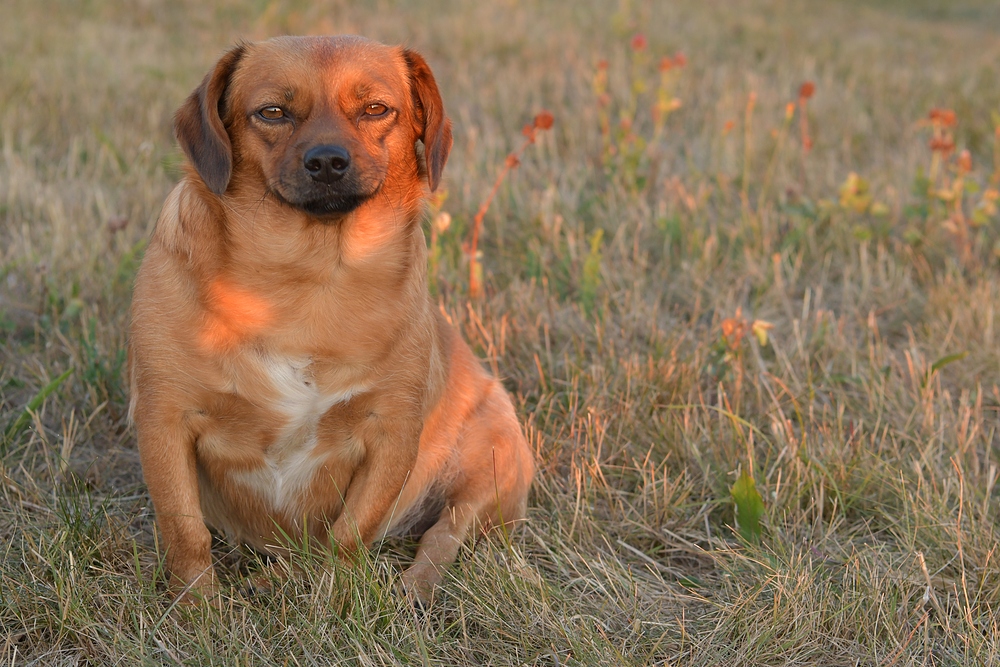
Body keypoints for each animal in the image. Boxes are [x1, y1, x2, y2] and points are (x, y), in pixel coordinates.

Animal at [132, 34, 536, 604]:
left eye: (376, 109)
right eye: (272, 112)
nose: (326, 161)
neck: (308, 279)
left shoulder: (391, 433)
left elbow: (349, 536)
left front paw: (334, 600)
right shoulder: (165, 421)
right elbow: (185, 531)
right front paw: (196, 606)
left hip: (491, 471)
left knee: (442, 536)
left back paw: (411, 591)